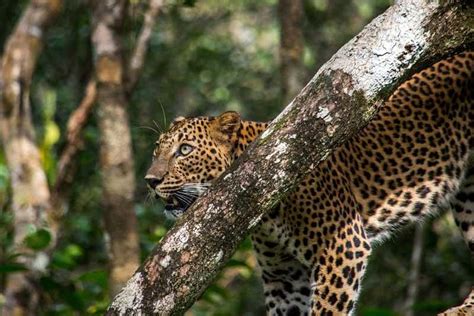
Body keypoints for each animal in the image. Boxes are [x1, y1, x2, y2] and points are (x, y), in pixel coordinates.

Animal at [144, 52, 474, 316]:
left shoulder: (343, 245)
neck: (261, 213)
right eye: (157, 149)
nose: (150, 181)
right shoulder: (285, 279)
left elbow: (328, 309)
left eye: (185, 150)